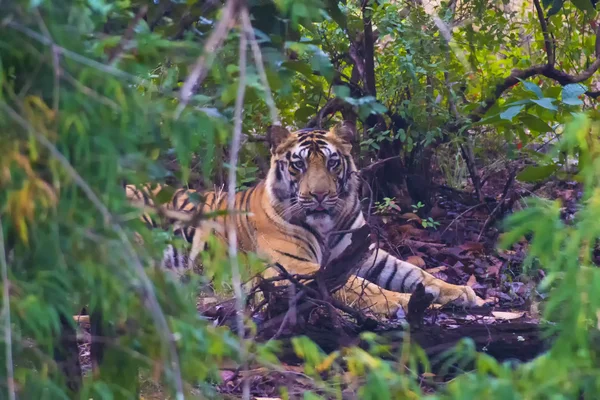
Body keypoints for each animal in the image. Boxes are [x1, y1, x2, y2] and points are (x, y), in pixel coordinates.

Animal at [125, 122, 478, 316]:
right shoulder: (293, 267)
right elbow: (361, 286)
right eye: (298, 165)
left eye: (333, 163)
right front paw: (405, 302)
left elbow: (415, 272)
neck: (328, 226)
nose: (319, 195)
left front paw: (461, 292)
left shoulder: (368, 254)